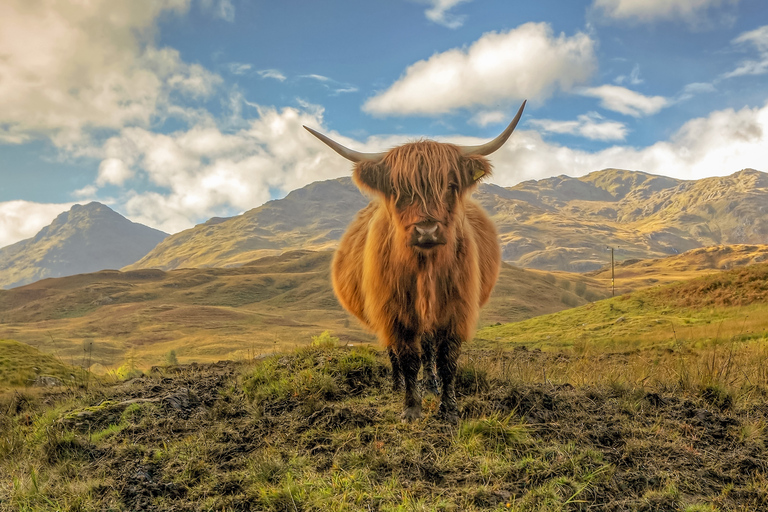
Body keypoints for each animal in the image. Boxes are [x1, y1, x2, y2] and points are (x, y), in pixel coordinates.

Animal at [304, 102, 524, 422]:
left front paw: (449, 409)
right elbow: (407, 358)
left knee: (428, 348)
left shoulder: (455, 310)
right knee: (395, 351)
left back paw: (431, 385)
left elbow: (446, 360)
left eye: (451, 185)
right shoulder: (393, 311)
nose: (427, 230)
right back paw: (397, 385)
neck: (425, 269)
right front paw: (410, 408)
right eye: (398, 190)